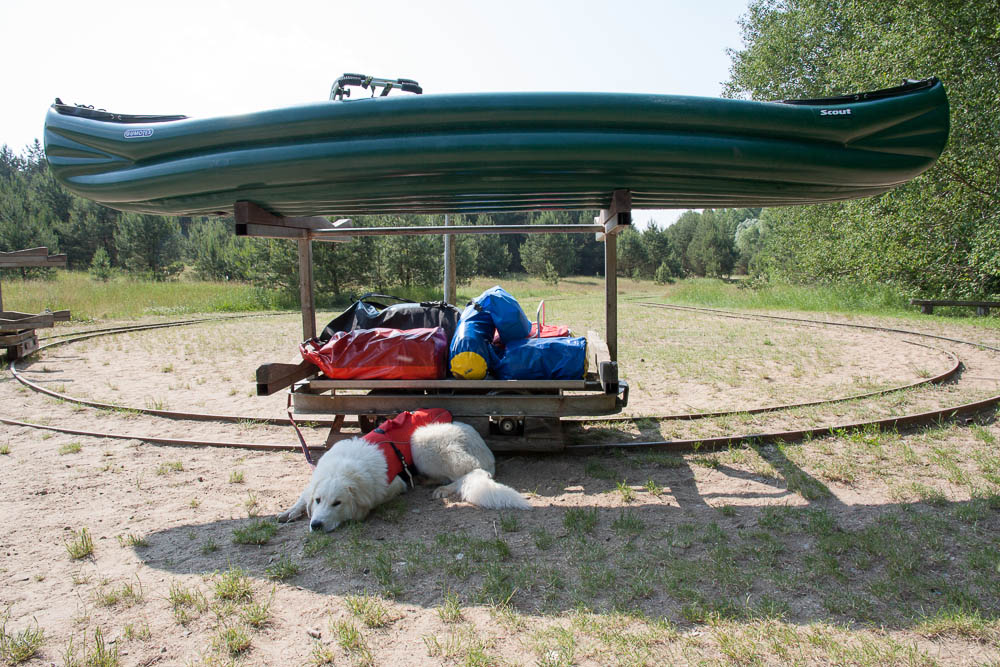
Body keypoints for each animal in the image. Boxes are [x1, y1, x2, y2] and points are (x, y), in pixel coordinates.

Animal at [280, 422, 532, 532]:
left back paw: (442, 489)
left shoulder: (394, 484)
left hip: (421, 442)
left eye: (337, 503)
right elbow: (303, 495)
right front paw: (291, 511)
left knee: (470, 473)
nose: (316, 525)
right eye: (319, 501)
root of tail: (486, 452)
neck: (344, 468)